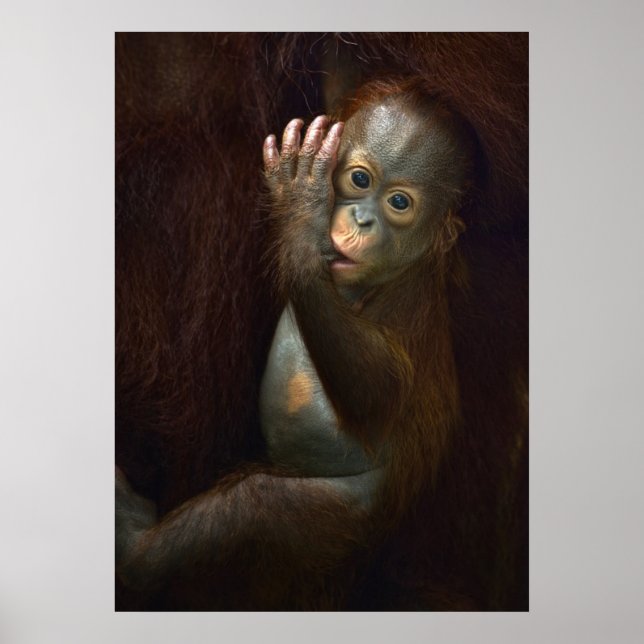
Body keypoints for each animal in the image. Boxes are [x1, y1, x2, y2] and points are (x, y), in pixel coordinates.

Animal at [116, 80, 478, 609]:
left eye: (400, 204)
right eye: (359, 179)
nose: (363, 220)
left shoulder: (408, 305)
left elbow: (376, 393)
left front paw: (301, 212)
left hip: (342, 517)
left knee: (257, 506)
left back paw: (135, 549)